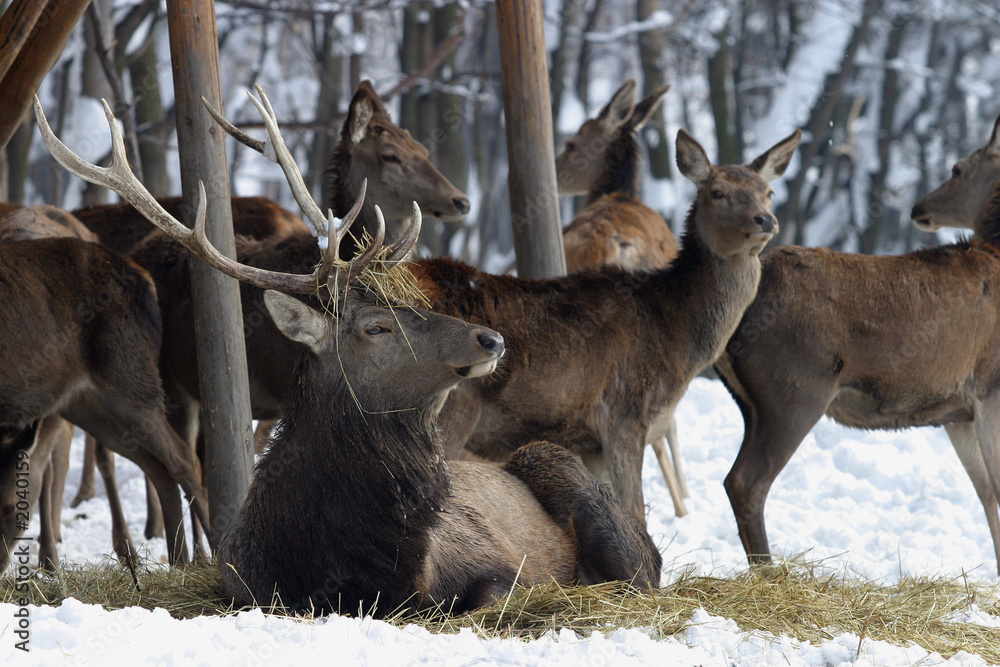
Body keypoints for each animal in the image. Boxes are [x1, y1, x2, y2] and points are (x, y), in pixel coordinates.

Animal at [39, 93, 662, 617]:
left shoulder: (493, 567)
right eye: (377, 327)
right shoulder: (246, 584)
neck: (346, 552)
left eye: (410, 301)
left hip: (572, 476)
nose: (492, 339)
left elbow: (487, 597)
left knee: (645, 570)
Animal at [715, 112, 1000, 575]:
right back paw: (769, 574)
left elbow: (986, 493)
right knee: (745, 481)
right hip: (796, 390)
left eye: (958, 169)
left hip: (750, 403)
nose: (919, 208)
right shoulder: (989, 386)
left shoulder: (957, 412)